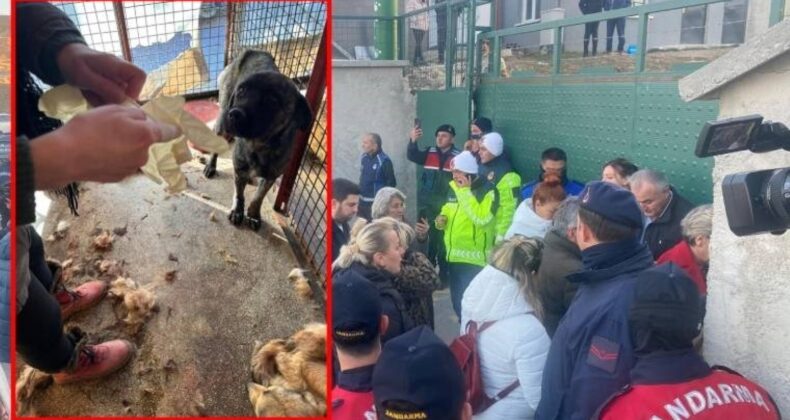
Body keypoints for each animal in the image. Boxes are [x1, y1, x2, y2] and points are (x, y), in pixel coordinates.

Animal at [204, 51, 312, 233]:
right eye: (241, 90)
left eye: (272, 101)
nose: (234, 114)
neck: (259, 146)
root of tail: (254, 51)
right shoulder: (239, 168)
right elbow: (239, 193)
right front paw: (237, 210)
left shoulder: (271, 176)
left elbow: (258, 197)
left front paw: (253, 215)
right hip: (222, 120)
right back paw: (210, 166)